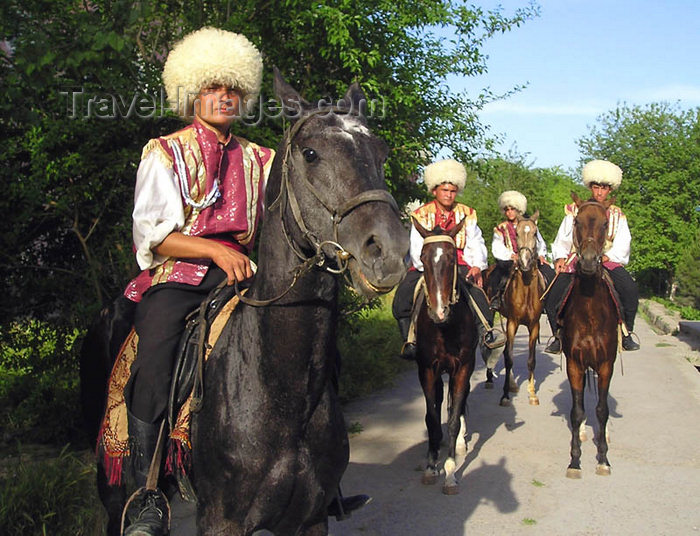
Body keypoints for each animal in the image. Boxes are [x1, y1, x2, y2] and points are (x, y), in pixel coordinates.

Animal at [84, 69, 408, 532]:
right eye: (311, 154)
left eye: (380, 152)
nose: (388, 252)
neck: (282, 392)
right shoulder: (222, 521)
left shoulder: (310, 519)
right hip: (113, 493)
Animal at [486, 213, 548, 406]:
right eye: (517, 233)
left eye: (535, 233)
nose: (525, 262)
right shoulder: (513, 323)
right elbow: (509, 359)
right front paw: (505, 395)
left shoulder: (534, 325)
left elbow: (531, 360)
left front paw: (532, 393)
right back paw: (492, 380)